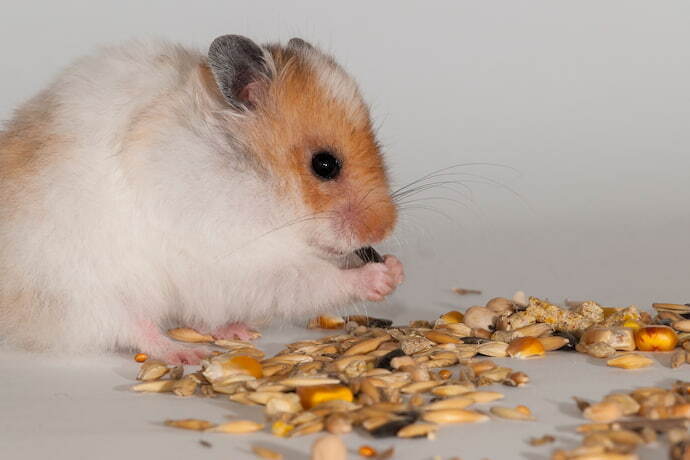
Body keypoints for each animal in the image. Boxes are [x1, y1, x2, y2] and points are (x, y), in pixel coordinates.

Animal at [0, 35, 404, 362]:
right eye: (324, 164)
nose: (384, 229)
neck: (258, 181)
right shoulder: (234, 254)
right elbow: (310, 279)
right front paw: (383, 277)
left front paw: (396, 266)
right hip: (88, 288)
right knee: (131, 326)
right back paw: (184, 353)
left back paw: (237, 332)